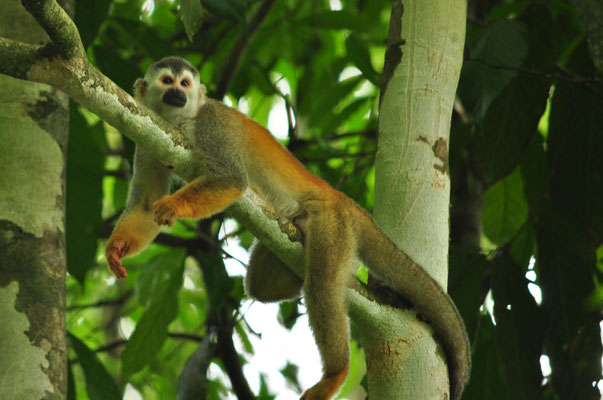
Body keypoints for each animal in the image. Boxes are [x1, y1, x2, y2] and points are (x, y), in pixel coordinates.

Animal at [105, 56, 472, 400]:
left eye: (184, 83)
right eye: (167, 82)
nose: (178, 94)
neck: (181, 120)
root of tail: (344, 200)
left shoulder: (213, 123)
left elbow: (230, 179)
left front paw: (173, 206)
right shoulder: (148, 134)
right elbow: (145, 204)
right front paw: (117, 248)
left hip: (333, 222)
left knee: (321, 283)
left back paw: (335, 373)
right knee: (260, 284)